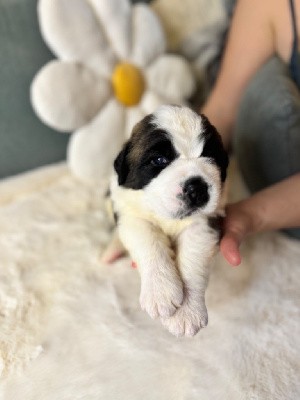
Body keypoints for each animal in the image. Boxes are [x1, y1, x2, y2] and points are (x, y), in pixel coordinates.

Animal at [104, 104, 229, 336]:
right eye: (159, 160)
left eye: (209, 155)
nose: (197, 187)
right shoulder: (131, 215)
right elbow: (149, 242)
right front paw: (160, 290)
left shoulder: (204, 224)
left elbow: (193, 258)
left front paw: (188, 312)